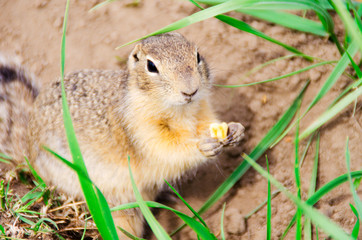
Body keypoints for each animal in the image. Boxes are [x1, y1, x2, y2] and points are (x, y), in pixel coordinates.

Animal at [0, 33, 245, 238]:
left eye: (197, 55)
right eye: (151, 66)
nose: (190, 91)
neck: (181, 111)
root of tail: (28, 151)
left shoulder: (202, 111)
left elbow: (208, 125)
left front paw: (235, 130)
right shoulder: (141, 131)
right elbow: (168, 149)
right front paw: (203, 146)